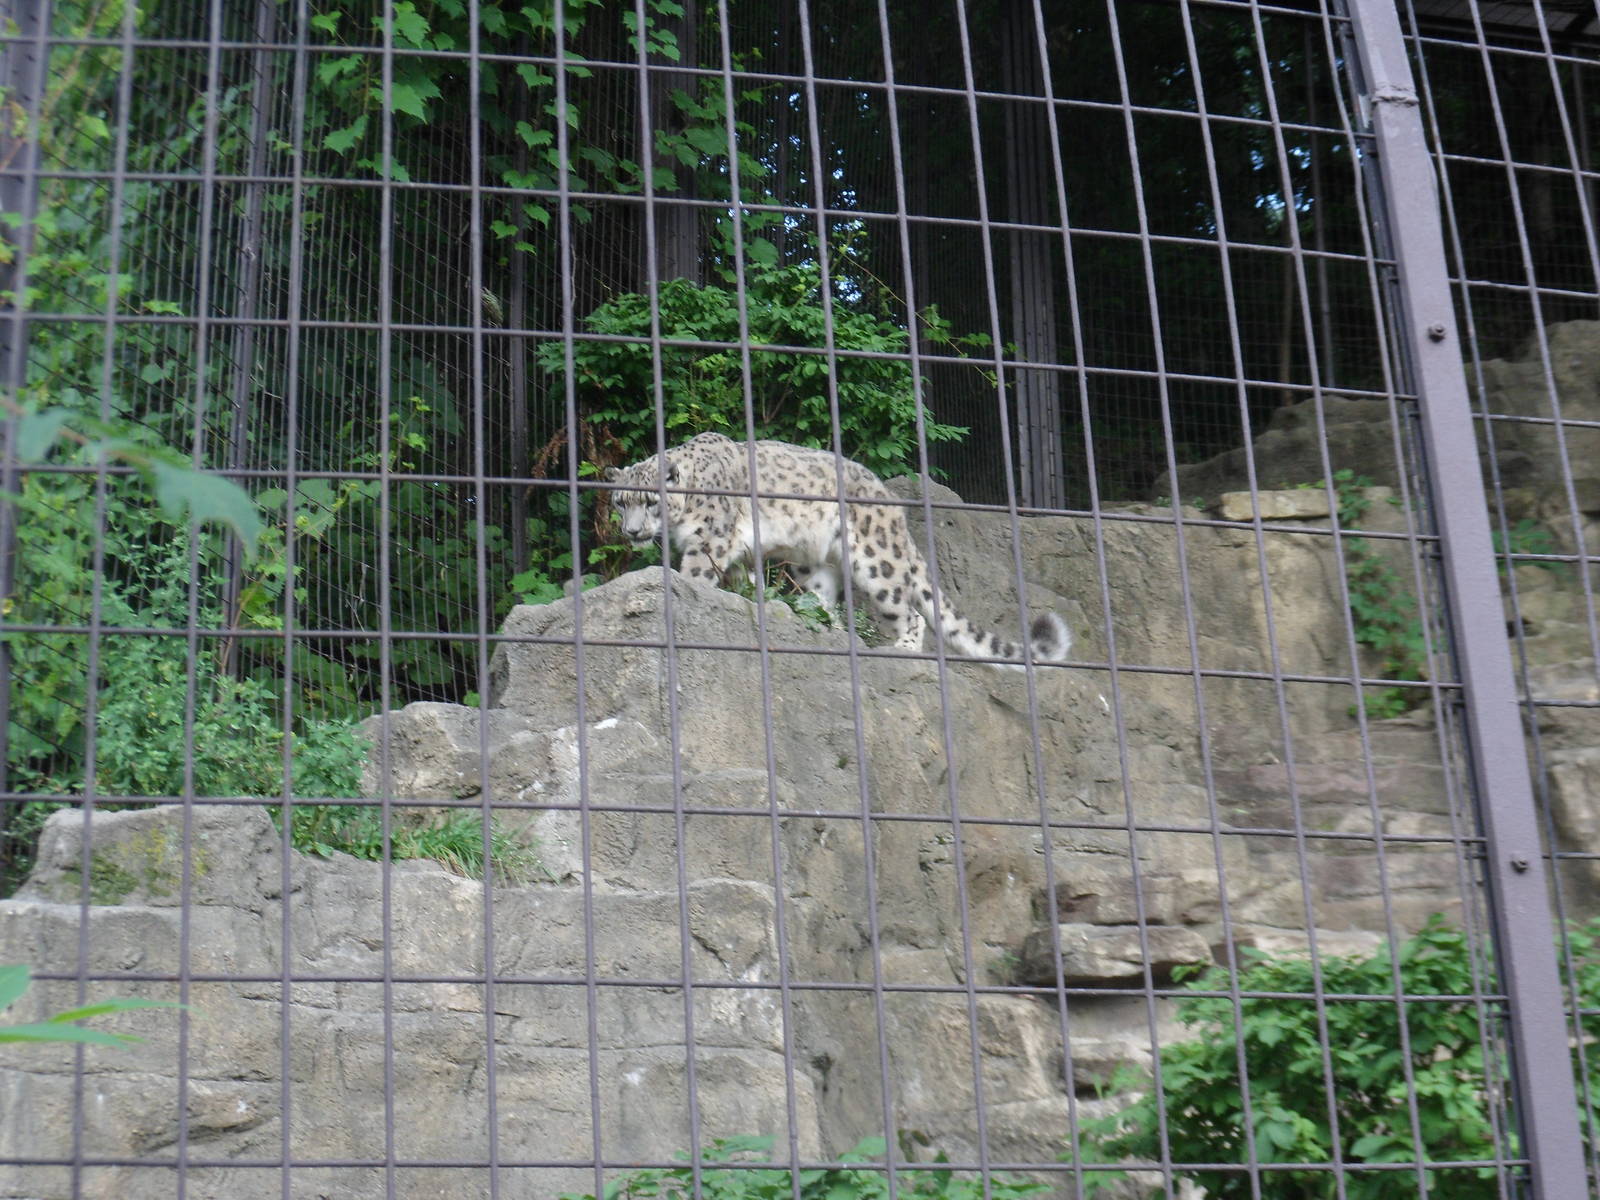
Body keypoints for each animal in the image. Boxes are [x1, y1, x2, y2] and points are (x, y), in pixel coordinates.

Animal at [603, 432, 1072, 669]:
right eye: (620, 503)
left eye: (649, 502)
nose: (631, 531)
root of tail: (892, 506)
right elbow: (742, 579)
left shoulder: (709, 540)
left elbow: (697, 574)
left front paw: (685, 589)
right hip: (813, 562)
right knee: (826, 597)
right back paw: (816, 622)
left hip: (878, 563)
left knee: (912, 612)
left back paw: (900, 648)